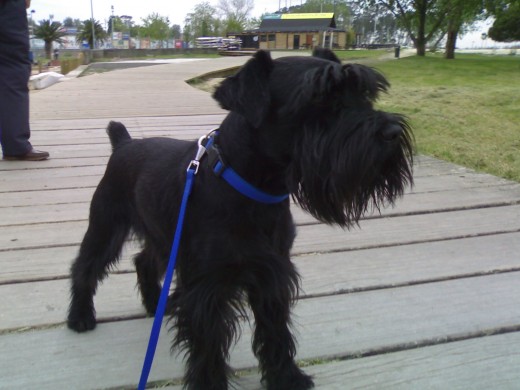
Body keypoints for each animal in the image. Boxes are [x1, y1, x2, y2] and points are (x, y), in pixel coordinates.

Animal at [66, 47, 414, 388]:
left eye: (365, 93)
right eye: (317, 97)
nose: (392, 132)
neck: (253, 188)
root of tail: (123, 143)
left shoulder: (272, 275)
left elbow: (275, 332)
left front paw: (286, 377)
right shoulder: (207, 289)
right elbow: (208, 348)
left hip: (163, 236)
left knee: (143, 260)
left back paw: (155, 305)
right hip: (107, 226)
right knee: (86, 266)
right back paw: (80, 316)